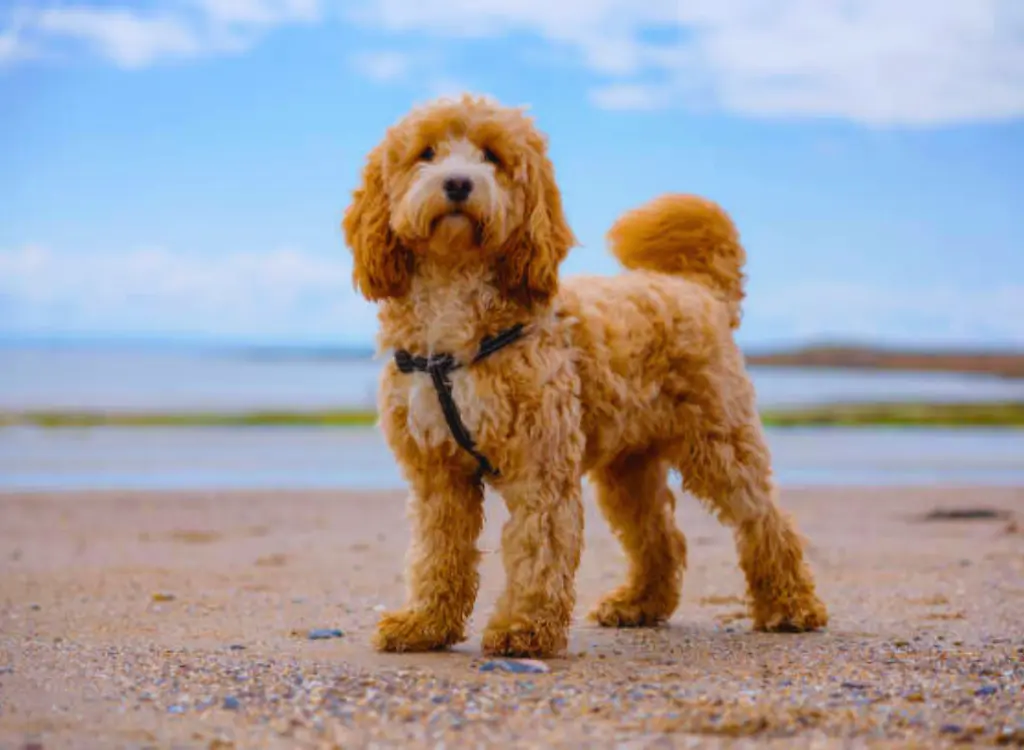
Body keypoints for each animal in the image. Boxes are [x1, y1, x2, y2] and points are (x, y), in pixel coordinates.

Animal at [339, 92, 827, 655]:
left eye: (491, 156)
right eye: (426, 153)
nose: (458, 183)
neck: (455, 299)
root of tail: (697, 288)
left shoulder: (540, 463)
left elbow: (538, 546)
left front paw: (523, 628)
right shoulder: (437, 474)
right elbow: (439, 551)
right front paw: (425, 624)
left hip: (722, 444)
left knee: (764, 520)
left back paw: (791, 605)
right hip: (627, 468)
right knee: (659, 535)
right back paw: (638, 604)